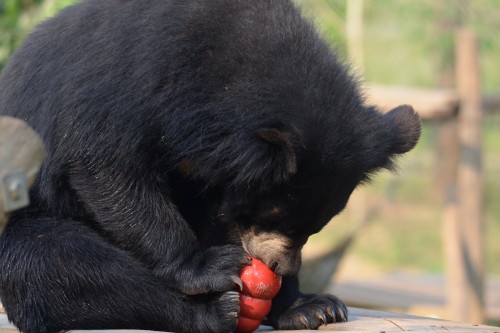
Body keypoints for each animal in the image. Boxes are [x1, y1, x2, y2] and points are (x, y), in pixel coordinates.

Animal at [0, 0, 422, 332]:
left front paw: (306, 307)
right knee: (59, 264)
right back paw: (214, 311)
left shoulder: (220, 176)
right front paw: (209, 266)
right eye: (274, 216)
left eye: (314, 227)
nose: (280, 268)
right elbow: (106, 165)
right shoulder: (128, 86)